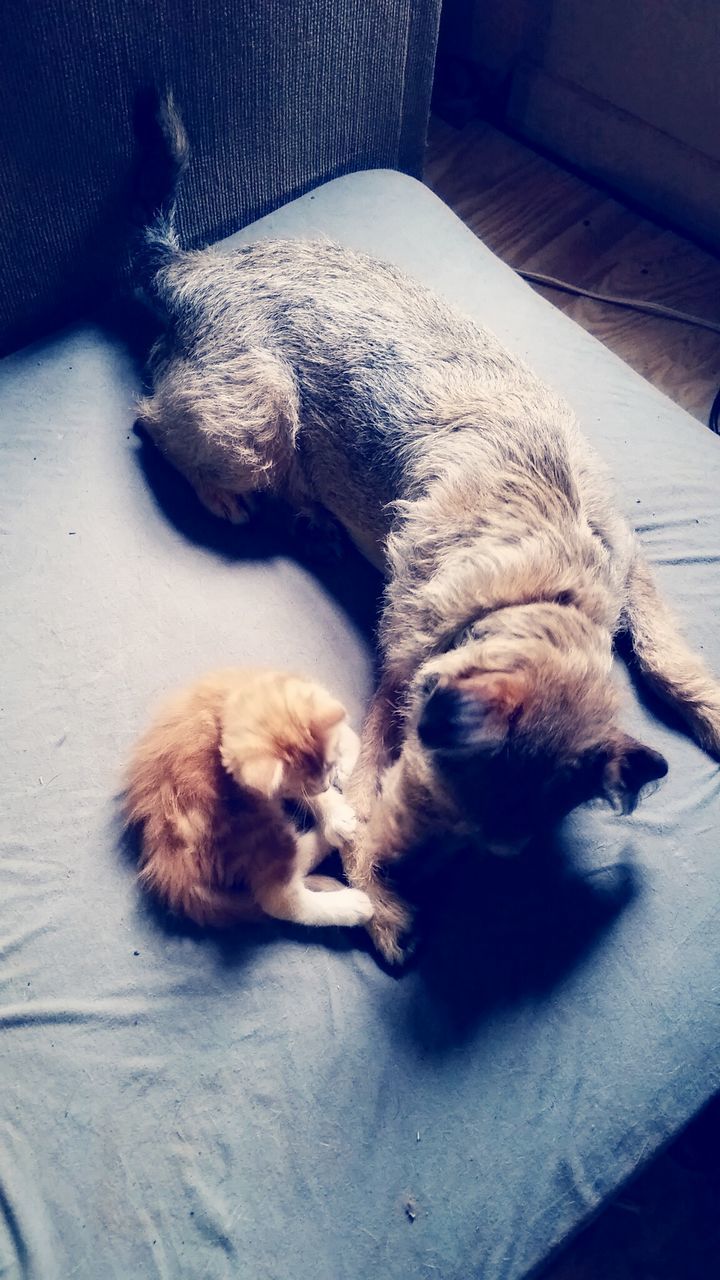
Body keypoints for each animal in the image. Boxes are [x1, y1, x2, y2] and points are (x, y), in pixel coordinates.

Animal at [122, 670, 368, 931]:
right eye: (315, 782)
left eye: (328, 766)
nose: (325, 783)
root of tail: (172, 867)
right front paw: (338, 811)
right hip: (255, 827)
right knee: (277, 896)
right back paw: (351, 896)